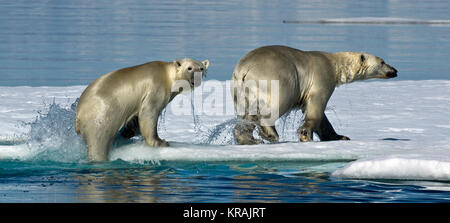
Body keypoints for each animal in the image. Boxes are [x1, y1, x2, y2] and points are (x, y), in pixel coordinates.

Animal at [76, 58, 210, 161]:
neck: (167, 75)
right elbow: (149, 113)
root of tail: (78, 114)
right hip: (101, 115)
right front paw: (160, 142)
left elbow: (136, 118)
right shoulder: (156, 88)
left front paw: (127, 132)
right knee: (99, 140)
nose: (197, 78)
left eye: (201, 68)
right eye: (189, 68)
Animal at [232, 45, 398, 145]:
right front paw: (305, 134)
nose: (395, 70)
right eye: (382, 61)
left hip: (240, 89)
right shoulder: (322, 77)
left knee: (246, 113)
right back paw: (270, 134)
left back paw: (249, 139)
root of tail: (244, 68)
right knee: (276, 104)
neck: (335, 65)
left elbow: (322, 119)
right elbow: (316, 107)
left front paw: (340, 136)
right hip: (278, 78)